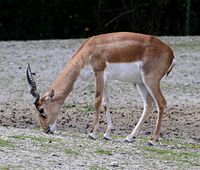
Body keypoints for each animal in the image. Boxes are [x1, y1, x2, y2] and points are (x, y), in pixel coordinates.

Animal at [27, 31, 175, 145]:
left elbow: (97, 100)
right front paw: (107, 134)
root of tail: (171, 53)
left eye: (41, 110)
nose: (46, 129)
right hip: (140, 83)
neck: (88, 49)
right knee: (149, 105)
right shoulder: (106, 79)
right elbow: (106, 102)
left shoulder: (99, 73)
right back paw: (129, 137)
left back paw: (152, 140)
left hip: (151, 81)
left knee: (161, 103)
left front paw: (92, 133)